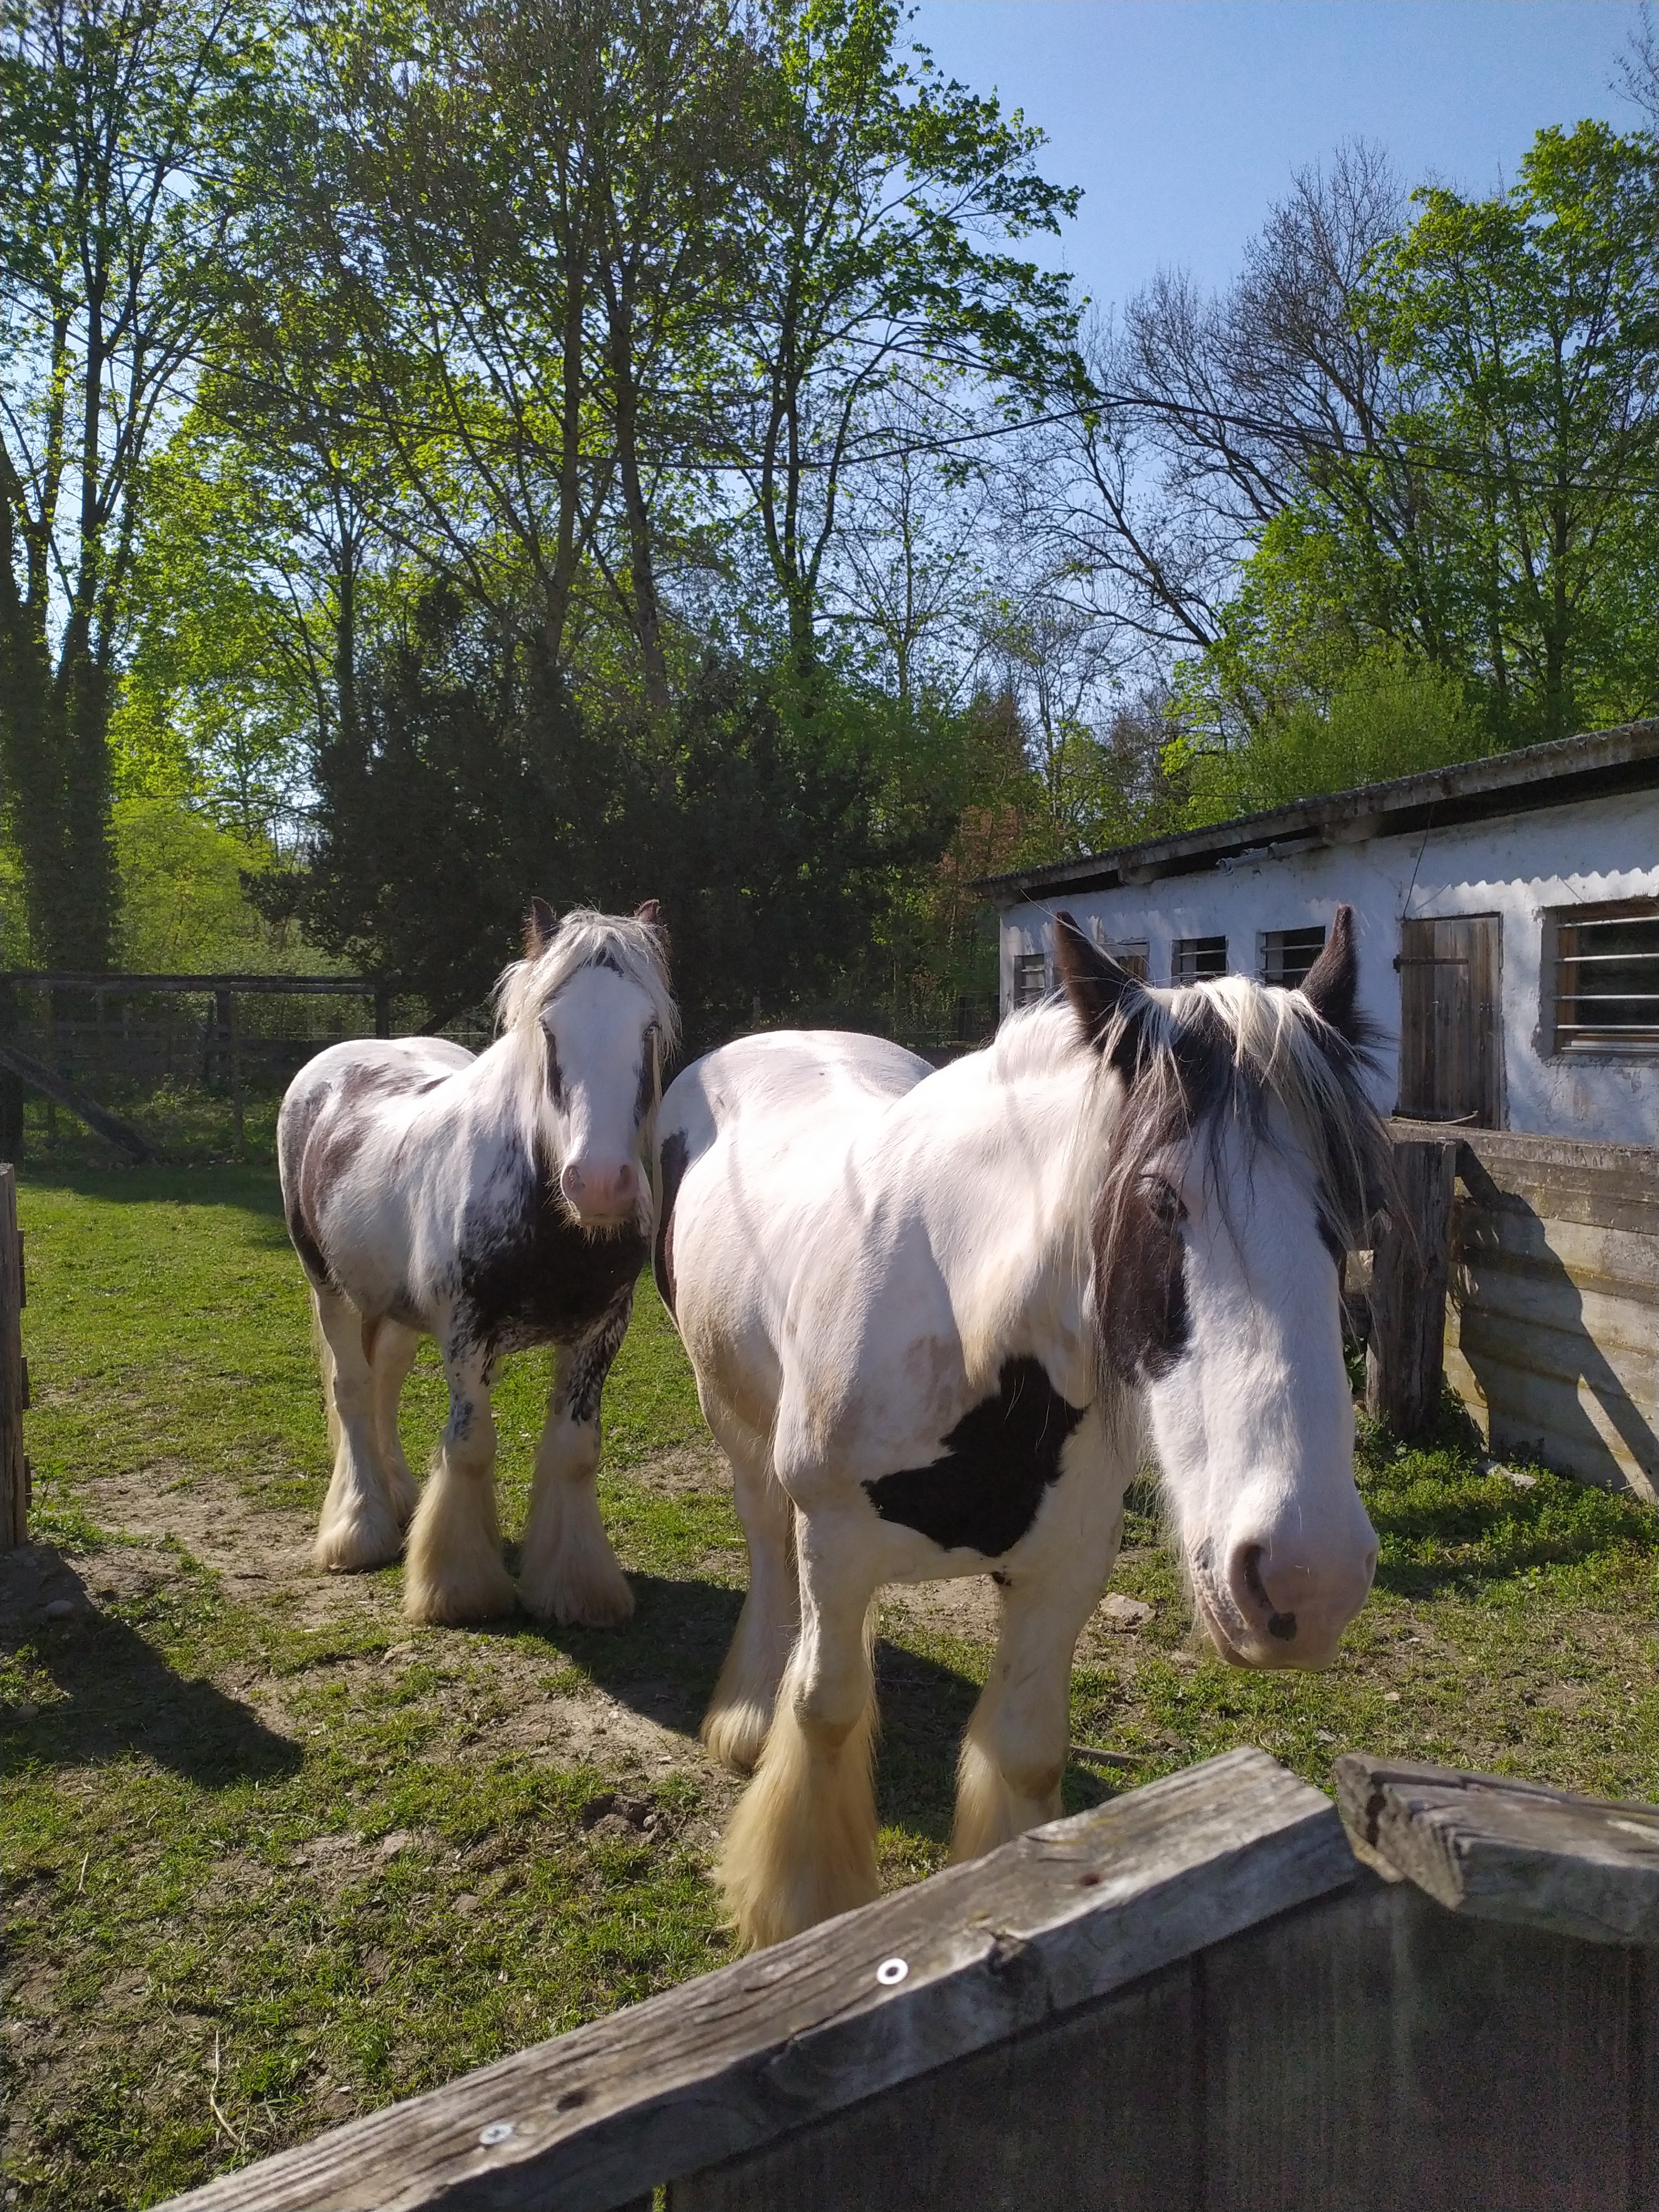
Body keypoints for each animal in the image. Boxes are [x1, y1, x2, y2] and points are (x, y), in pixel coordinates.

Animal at [277, 900, 677, 1628]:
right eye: (548, 1027)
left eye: (649, 1027)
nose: (601, 1184)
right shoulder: (467, 1336)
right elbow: (468, 1448)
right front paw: (457, 1587)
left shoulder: (601, 1333)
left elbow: (574, 1452)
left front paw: (577, 1586)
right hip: (329, 1287)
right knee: (353, 1389)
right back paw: (360, 1529)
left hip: (393, 1305)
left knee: (384, 1381)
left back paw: (400, 1499)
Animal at [653, 904, 1392, 1949]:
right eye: (1160, 1200)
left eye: (1353, 1208)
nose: (1307, 1580)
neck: (970, 1331)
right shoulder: (835, 1546)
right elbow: (826, 1712)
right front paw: (800, 1909)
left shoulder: (1065, 1563)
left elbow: (1026, 1748)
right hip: (731, 1416)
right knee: (764, 1543)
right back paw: (749, 1709)